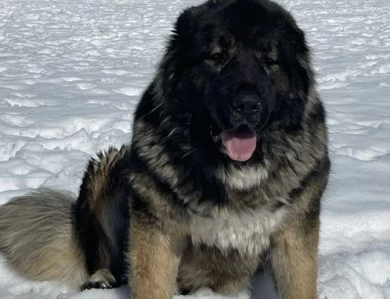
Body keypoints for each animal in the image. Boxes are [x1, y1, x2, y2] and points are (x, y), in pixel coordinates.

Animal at [0, 0, 330, 299]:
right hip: (108, 169)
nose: (248, 105)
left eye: (270, 60)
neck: (232, 168)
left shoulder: (294, 235)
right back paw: (102, 278)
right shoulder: (155, 230)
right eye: (216, 56)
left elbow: (299, 284)